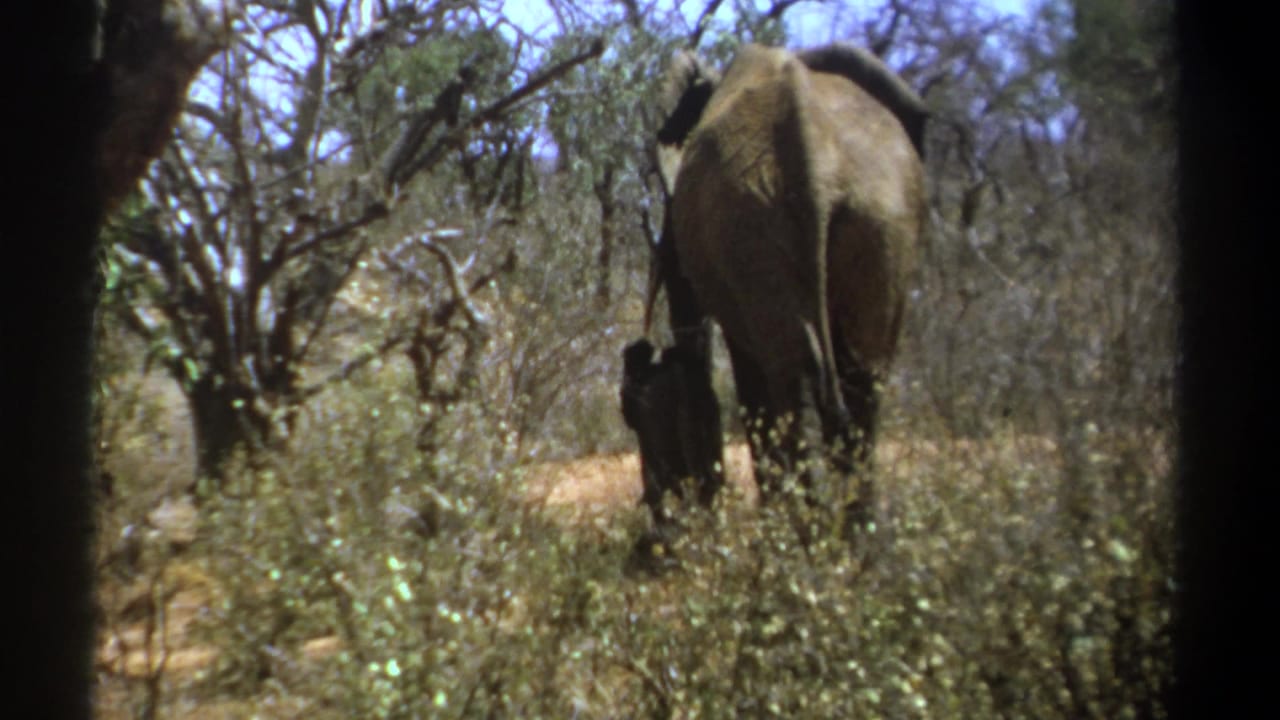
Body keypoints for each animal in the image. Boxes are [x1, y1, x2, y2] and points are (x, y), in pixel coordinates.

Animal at [645, 42, 927, 534]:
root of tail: (813, 163)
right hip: (875, 224)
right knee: (859, 381)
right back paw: (851, 544)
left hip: (758, 231)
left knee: (795, 382)